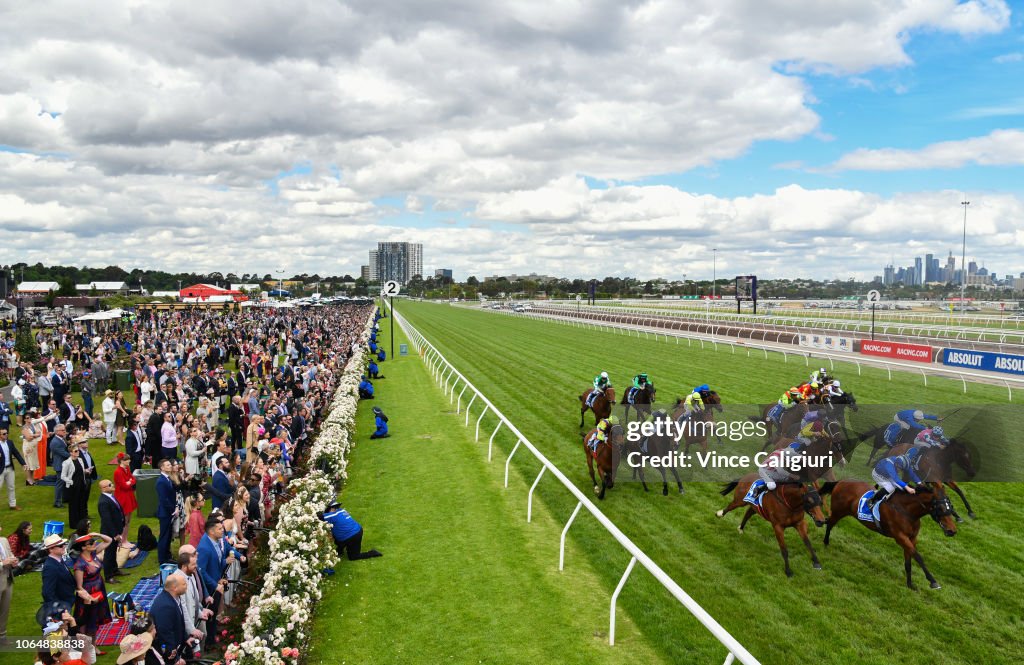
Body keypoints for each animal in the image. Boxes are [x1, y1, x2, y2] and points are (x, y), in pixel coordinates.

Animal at [819, 479, 954, 590]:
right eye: (941, 508)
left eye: (951, 507)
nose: (952, 530)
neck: (907, 511)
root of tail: (841, 481)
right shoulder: (900, 537)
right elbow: (918, 557)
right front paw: (933, 581)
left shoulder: (911, 538)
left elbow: (908, 562)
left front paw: (910, 584)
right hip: (838, 511)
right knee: (829, 523)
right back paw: (825, 542)